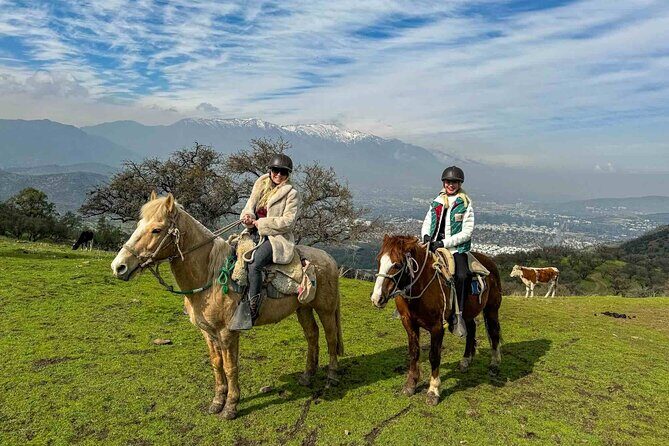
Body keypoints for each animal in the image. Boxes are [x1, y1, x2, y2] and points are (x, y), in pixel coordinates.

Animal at [111, 193, 344, 420]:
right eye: (138, 224)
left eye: (156, 230)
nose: (119, 267)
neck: (211, 275)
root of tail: (330, 259)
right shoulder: (208, 331)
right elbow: (217, 363)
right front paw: (217, 402)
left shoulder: (227, 332)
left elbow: (231, 366)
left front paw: (230, 406)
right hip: (303, 308)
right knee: (312, 335)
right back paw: (307, 376)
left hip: (325, 309)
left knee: (330, 338)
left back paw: (332, 377)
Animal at [370, 235, 502, 406]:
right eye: (379, 260)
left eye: (397, 264)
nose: (377, 298)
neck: (422, 286)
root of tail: (490, 263)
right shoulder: (409, 323)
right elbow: (414, 352)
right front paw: (410, 384)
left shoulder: (437, 327)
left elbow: (434, 356)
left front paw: (433, 391)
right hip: (468, 313)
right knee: (472, 329)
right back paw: (466, 360)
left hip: (492, 309)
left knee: (493, 332)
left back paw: (494, 364)